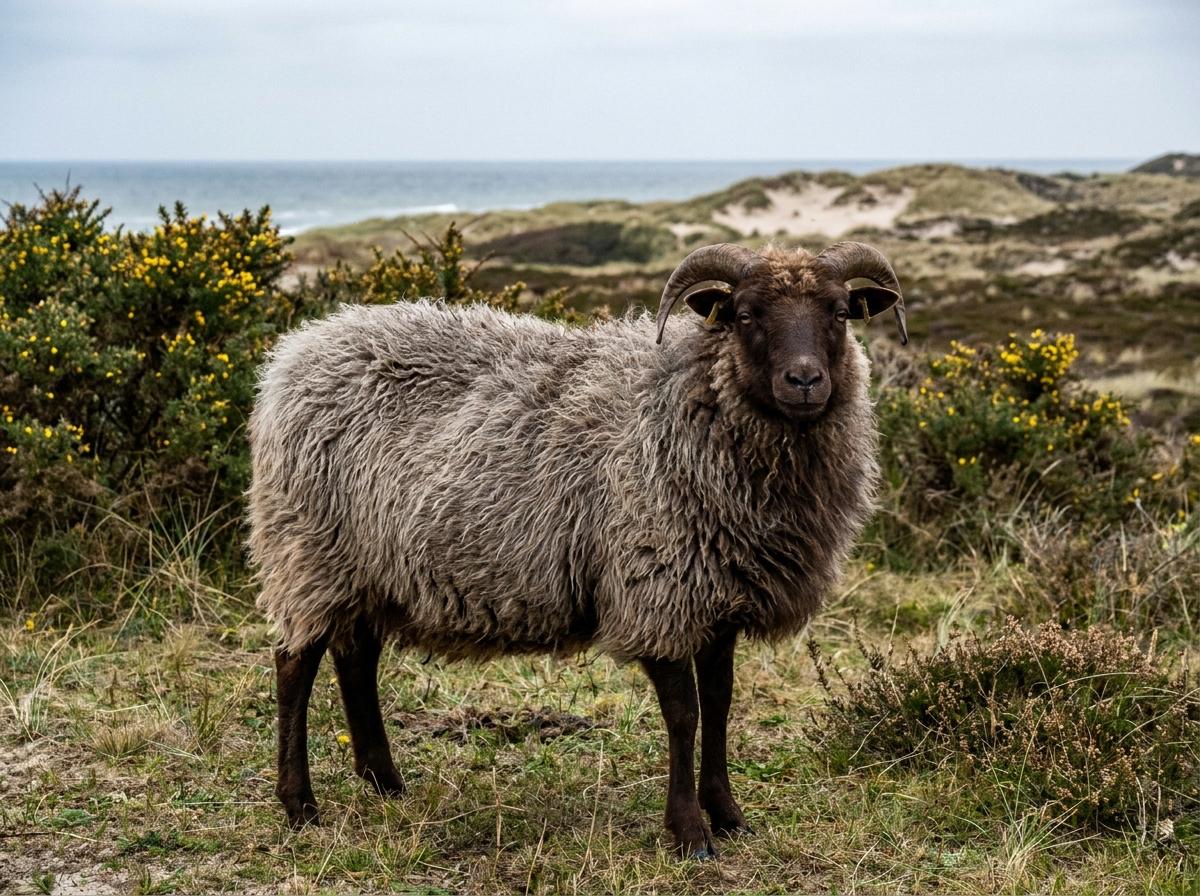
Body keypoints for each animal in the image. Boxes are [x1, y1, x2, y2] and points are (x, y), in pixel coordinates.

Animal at [247, 240, 908, 859]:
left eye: (840, 312)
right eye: (745, 314)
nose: (805, 382)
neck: (686, 400)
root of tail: (299, 350)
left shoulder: (717, 597)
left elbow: (720, 705)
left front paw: (728, 815)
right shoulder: (656, 588)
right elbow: (684, 715)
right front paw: (690, 833)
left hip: (366, 568)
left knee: (355, 657)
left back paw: (385, 782)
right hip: (308, 551)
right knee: (295, 663)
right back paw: (300, 805)